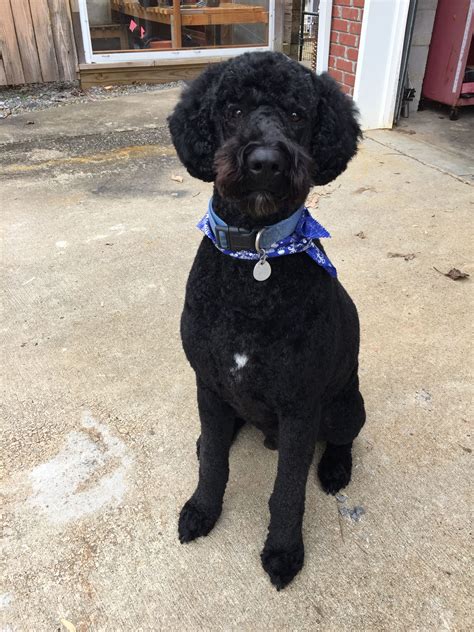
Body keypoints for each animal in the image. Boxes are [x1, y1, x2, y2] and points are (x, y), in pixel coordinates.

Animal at [168, 51, 364, 592]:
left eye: (297, 115)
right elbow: (214, 462)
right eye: (232, 110)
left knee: (343, 439)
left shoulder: (299, 409)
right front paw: (202, 510)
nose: (265, 162)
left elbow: (288, 491)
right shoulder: (208, 383)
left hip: (344, 406)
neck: (256, 257)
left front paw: (283, 551)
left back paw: (335, 469)